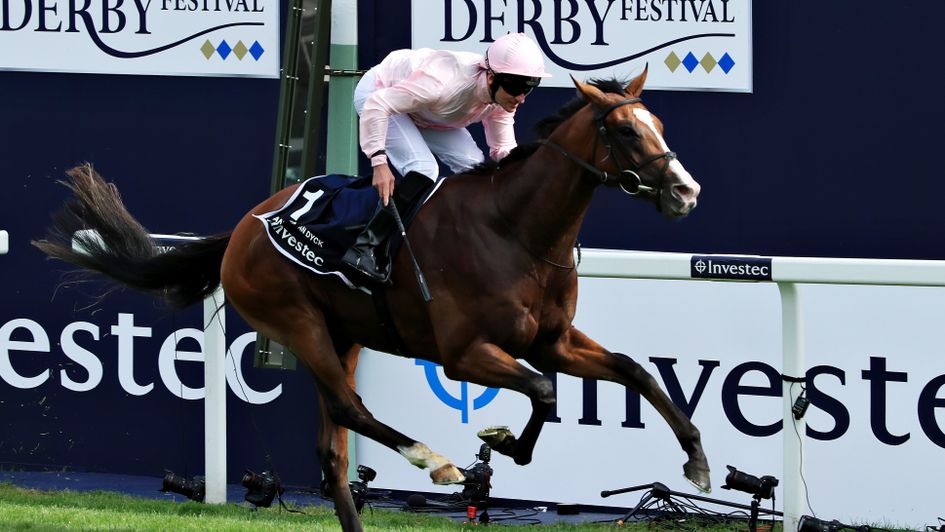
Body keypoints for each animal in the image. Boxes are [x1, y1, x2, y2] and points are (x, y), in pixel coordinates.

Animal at [33, 68, 704, 528]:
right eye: (625, 130)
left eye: (660, 126)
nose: (686, 191)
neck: (516, 231)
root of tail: (246, 226)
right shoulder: (462, 353)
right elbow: (543, 390)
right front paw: (504, 445)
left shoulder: (552, 340)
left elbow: (634, 372)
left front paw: (696, 460)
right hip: (298, 323)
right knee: (350, 411)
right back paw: (436, 461)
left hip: (345, 335)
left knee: (332, 454)